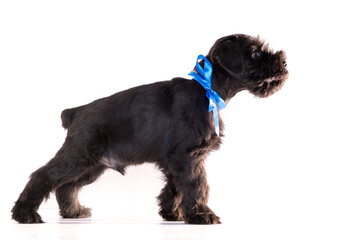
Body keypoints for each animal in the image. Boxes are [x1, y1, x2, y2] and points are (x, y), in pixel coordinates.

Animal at [11, 34, 288, 225]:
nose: (284, 61)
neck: (207, 89)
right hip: (78, 157)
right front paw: (202, 215)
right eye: (254, 54)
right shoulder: (189, 157)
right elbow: (197, 185)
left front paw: (172, 213)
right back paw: (24, 214)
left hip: (93, 165)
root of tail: (76, 111)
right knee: (43, 176)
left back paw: (73, 211)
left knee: (66, 186)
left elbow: (174, 187)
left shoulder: (176, 160)